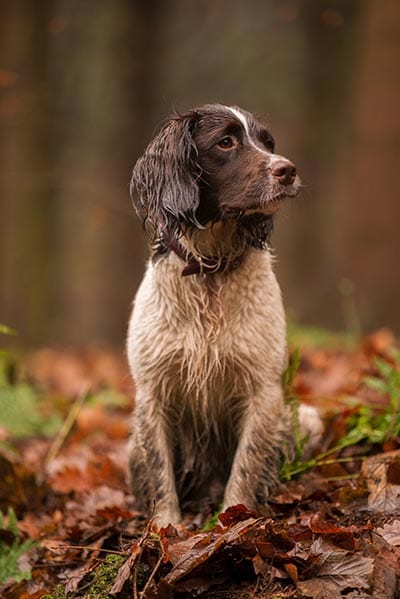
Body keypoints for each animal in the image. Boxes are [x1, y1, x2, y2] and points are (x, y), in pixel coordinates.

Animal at [126, 105, 320, 528]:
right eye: (226, 142)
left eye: (267, 142)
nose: (288, 169)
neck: (210, 271)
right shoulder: (153, 392)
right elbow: (160, 471)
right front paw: (166, 528)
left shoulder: (262, 390)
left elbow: (246, 466)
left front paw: (234, 520)